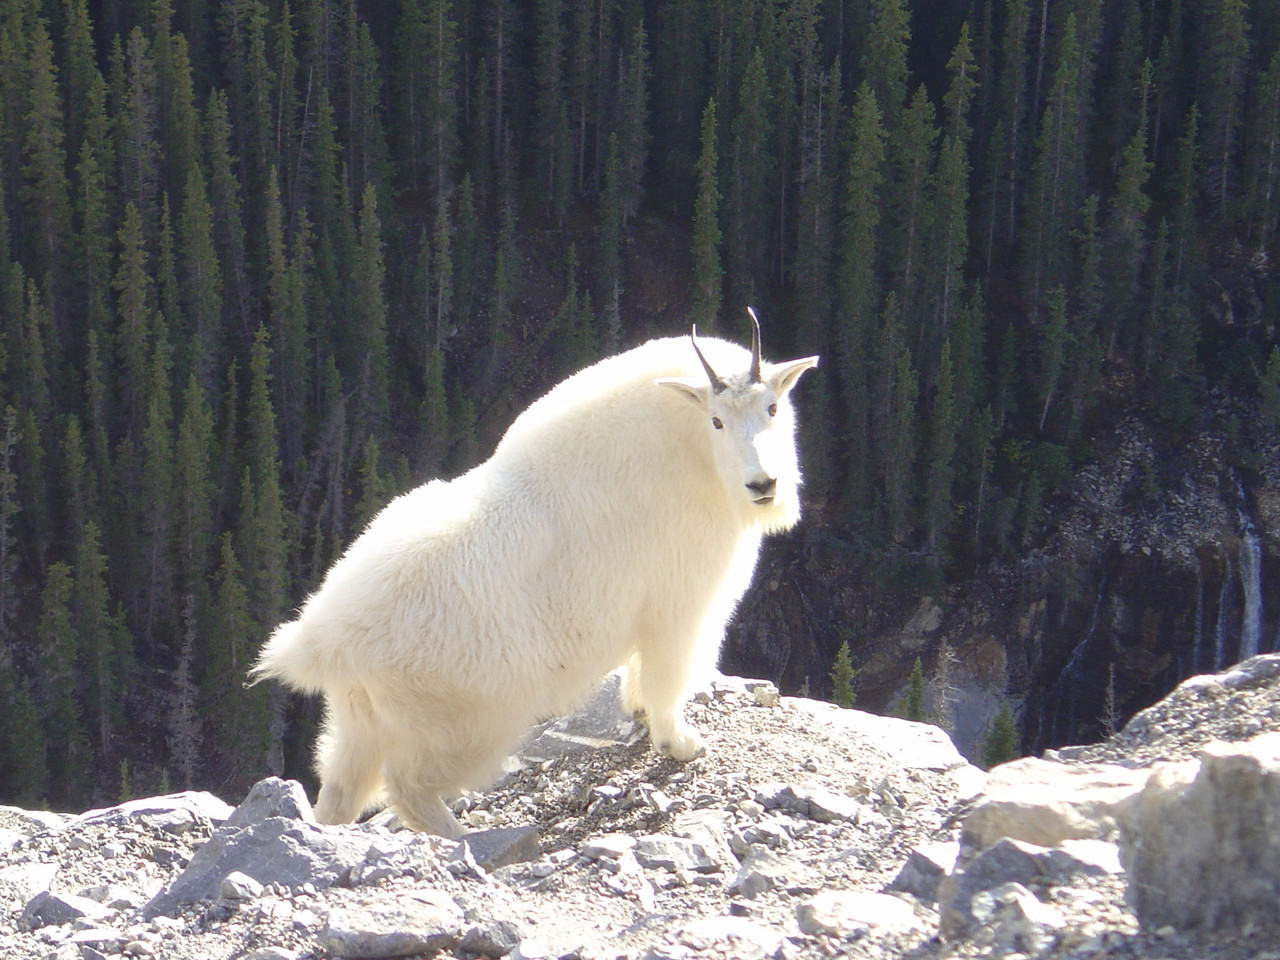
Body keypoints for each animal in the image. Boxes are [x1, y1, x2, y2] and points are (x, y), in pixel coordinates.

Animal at [252, 312, 819, 839]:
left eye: (772, 407)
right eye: (717, 421)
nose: (763, 484)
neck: (689, 451)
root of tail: (326, 640)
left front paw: (638, 713)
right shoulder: (680, 604)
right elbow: (668, 677)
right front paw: (681, 743)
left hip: (362, 715)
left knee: (341, 787)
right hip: (468, 718)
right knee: (407, 783)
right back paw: (466, 839)